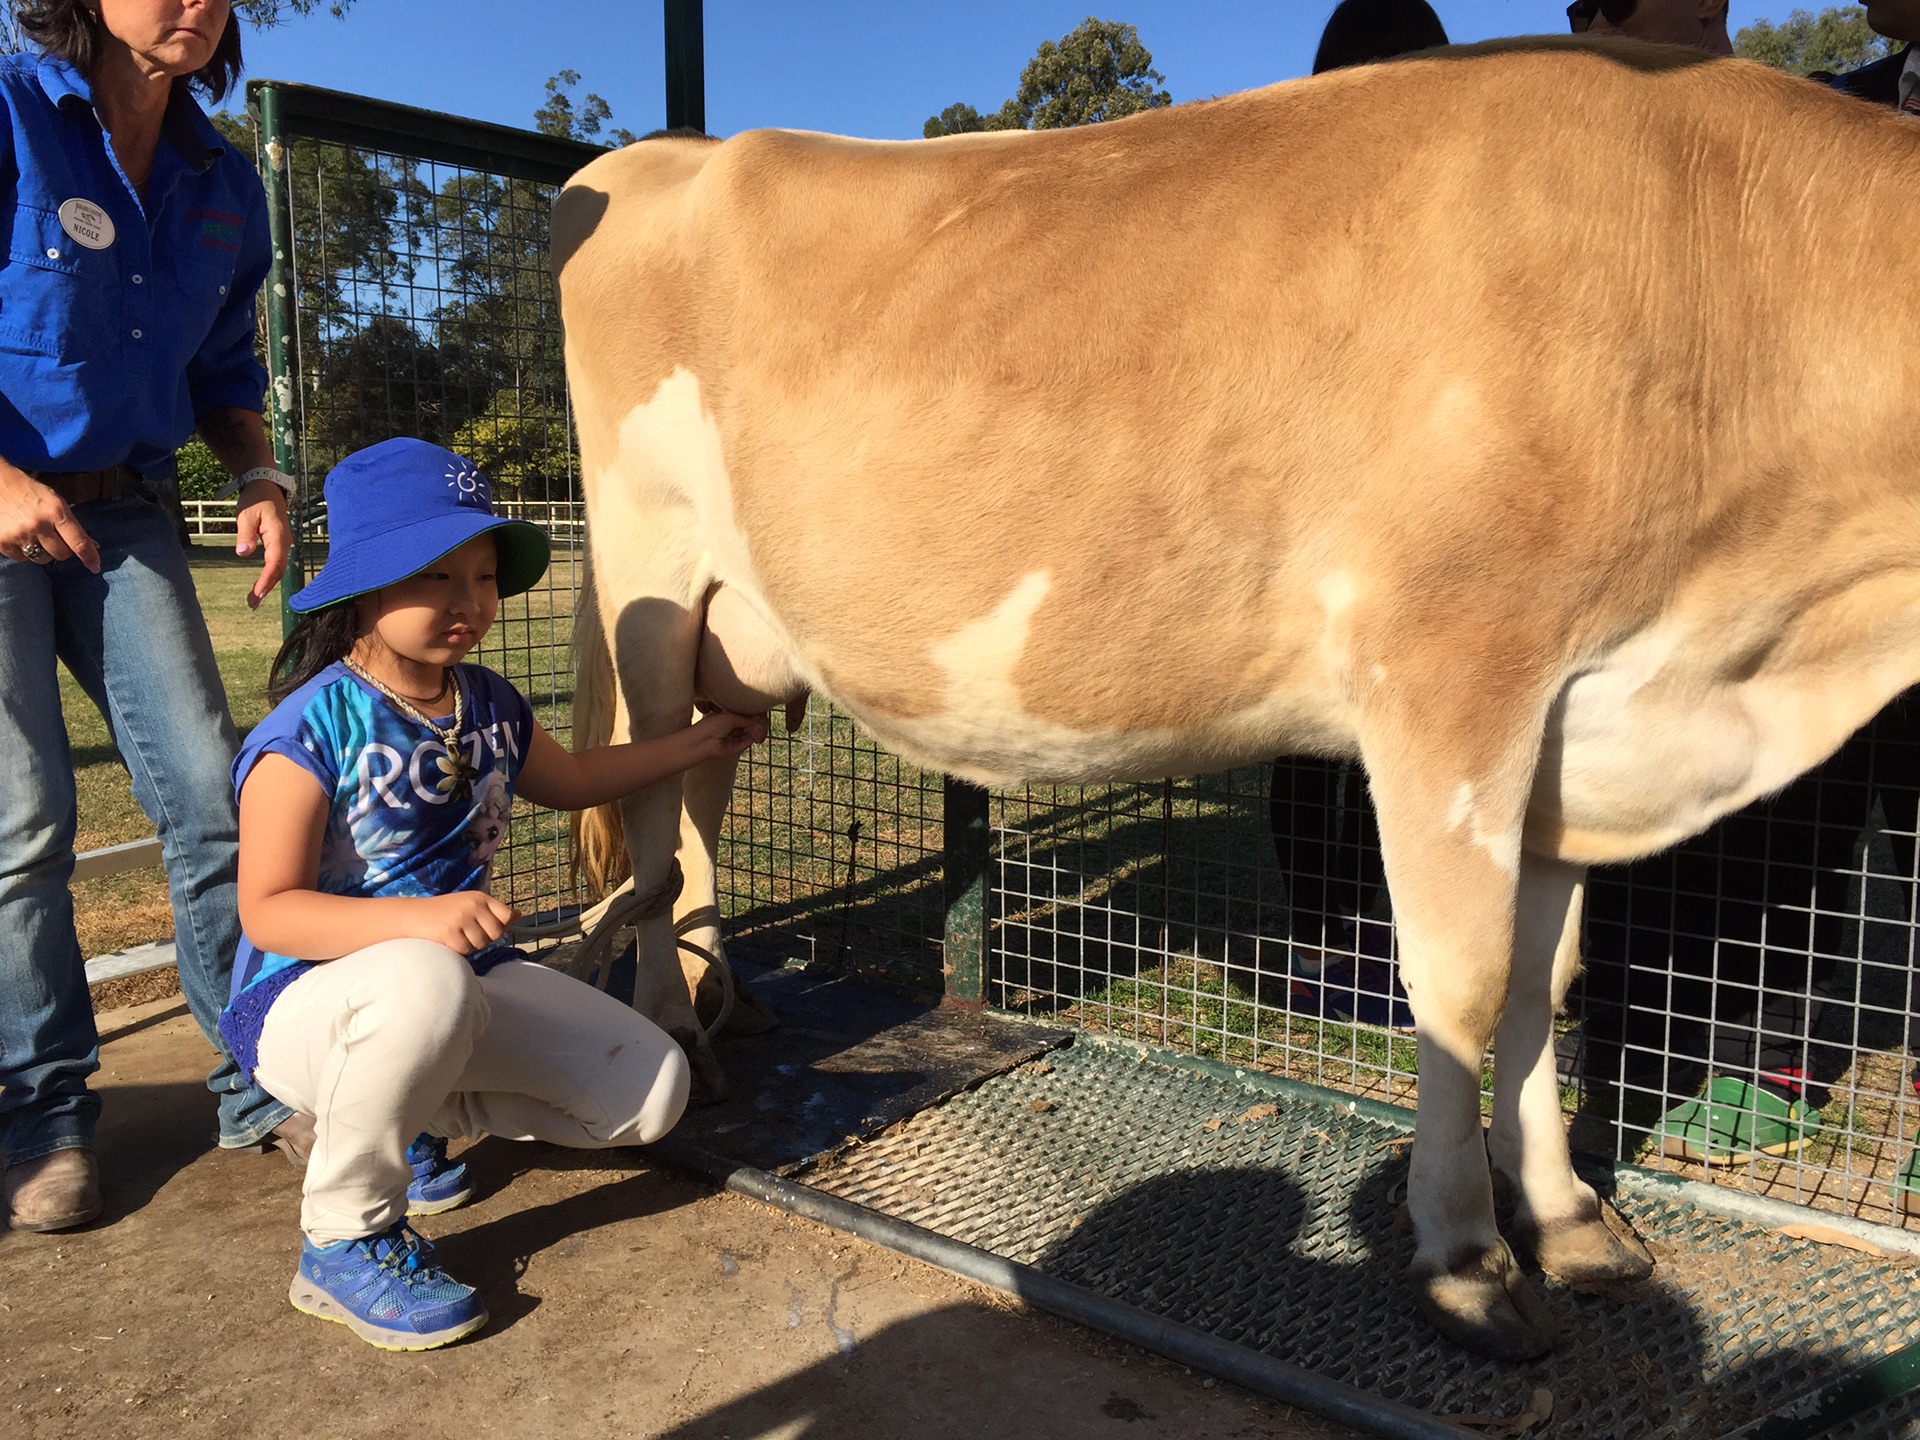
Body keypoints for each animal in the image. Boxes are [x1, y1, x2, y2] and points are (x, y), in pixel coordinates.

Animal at [549, 36, 1920, 1367]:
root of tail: (665, 154)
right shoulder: (1451, 672)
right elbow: (1464, 989)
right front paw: (1466, 1259)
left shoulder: (1579, 723)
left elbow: (1546, 980)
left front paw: (1569, 1220)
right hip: (649, 581)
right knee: (655, 818)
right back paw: (674, 1041)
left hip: (736, 632)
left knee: (695, 801)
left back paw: (729, 1004)